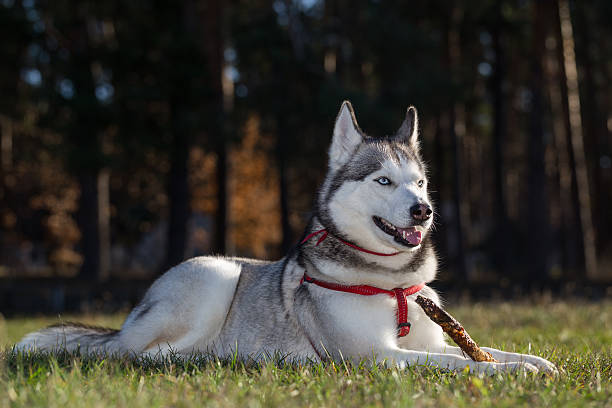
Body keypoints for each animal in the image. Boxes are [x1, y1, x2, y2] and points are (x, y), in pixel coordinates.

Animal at [15, 102, 560, 376]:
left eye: (421, 182)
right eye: (383, 181)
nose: (423, 211)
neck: (391, 284)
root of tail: (124, 323)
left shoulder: (433, 339)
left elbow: (489, 352)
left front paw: (540, 364)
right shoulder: (373, 357)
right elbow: (463, 366)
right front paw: (517, 374)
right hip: (215, 273)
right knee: (142, 356)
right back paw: (215, 357)